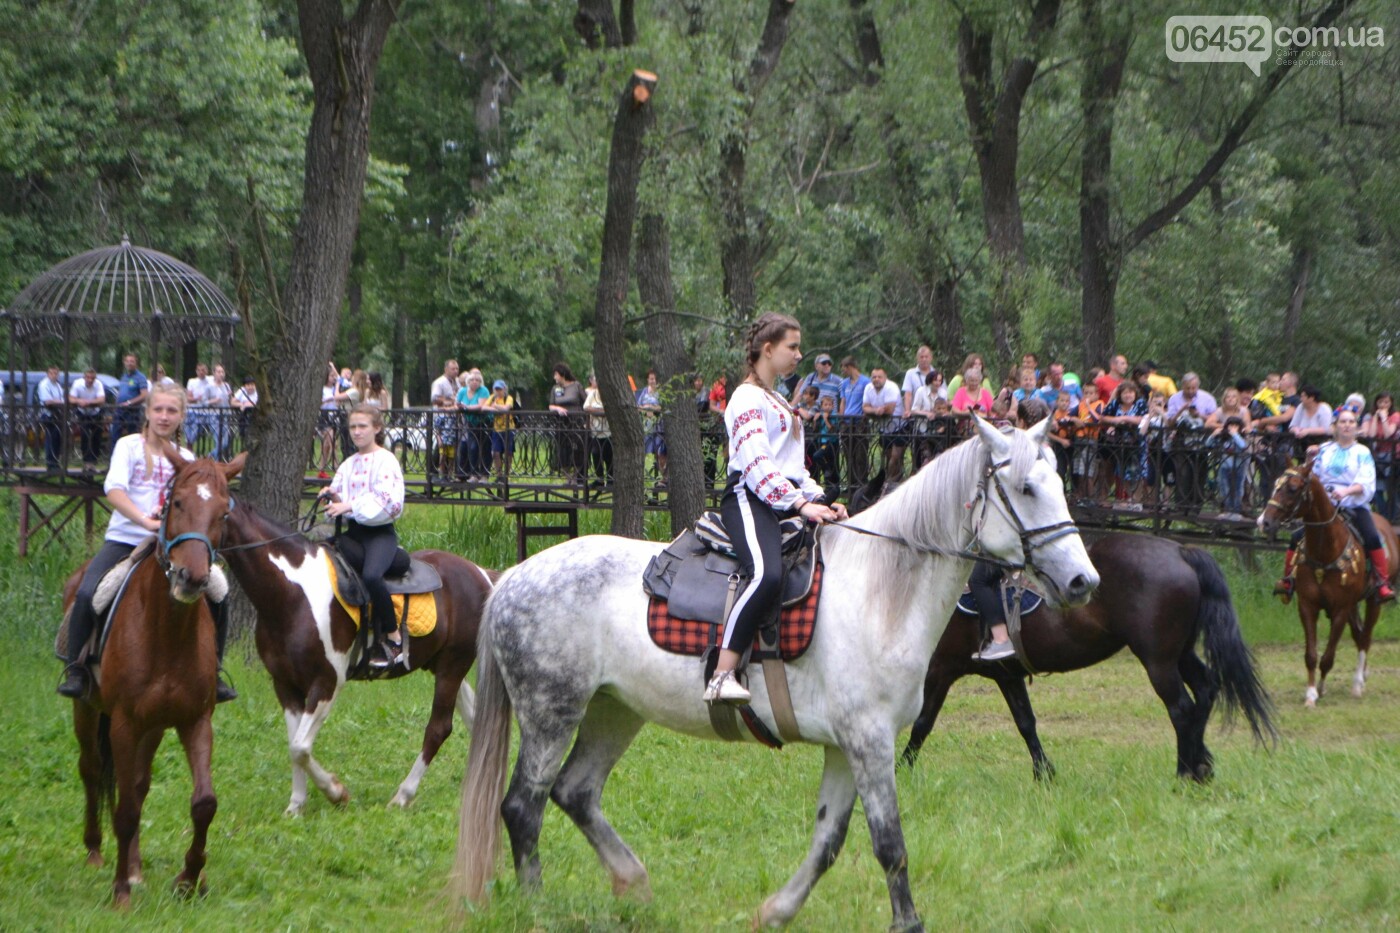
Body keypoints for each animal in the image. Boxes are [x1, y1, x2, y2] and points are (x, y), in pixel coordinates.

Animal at [65, 451, 238, 902]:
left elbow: (203, 803)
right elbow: (124, 808)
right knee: (92, 770)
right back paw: (96, 852)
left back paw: (136, 867)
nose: (191, 578)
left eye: (223, 511)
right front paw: (120, 892)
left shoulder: (195, 720)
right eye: (175, 503)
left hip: (154, 725)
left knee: (139, 784)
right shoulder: (124, 723)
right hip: (87, 710)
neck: (166, 632)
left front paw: (189, 880)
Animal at [211, 462, 487, 812]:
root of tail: (481, 574)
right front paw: (297, 804)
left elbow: (300, 747)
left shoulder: (327, 681)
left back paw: (403, 795)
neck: (291, 593)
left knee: (439, 728)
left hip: (453, 664)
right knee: (474, 718)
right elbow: (294, 746)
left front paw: (335, 791)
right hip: (443, 665)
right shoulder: (284, 683)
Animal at [896, 529, 1282, 778]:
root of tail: (1180, 551)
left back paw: (1184, 773)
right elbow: (1026, 723)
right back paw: (1202, 766)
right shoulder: (1006, 675)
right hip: (1180, 653)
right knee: (1205, 691)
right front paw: (1045, 774)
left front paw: (900, 772)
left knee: (1182, 709)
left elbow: (922, 724)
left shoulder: (940, 670)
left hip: (1158, 661)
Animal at [1254, 456, 1394, 706]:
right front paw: (1311, 693)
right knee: (1359, 635)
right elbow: (1311, 654)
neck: (1326, 551)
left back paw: (1358, 682)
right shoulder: (1307, 606)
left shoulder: (1340, 610)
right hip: (1353, 606)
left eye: (1292, 488)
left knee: (1365, 638)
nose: (1264, 521)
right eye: (1276, 484)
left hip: (1373, 602)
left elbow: (1328, 656)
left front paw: (1320, 687)